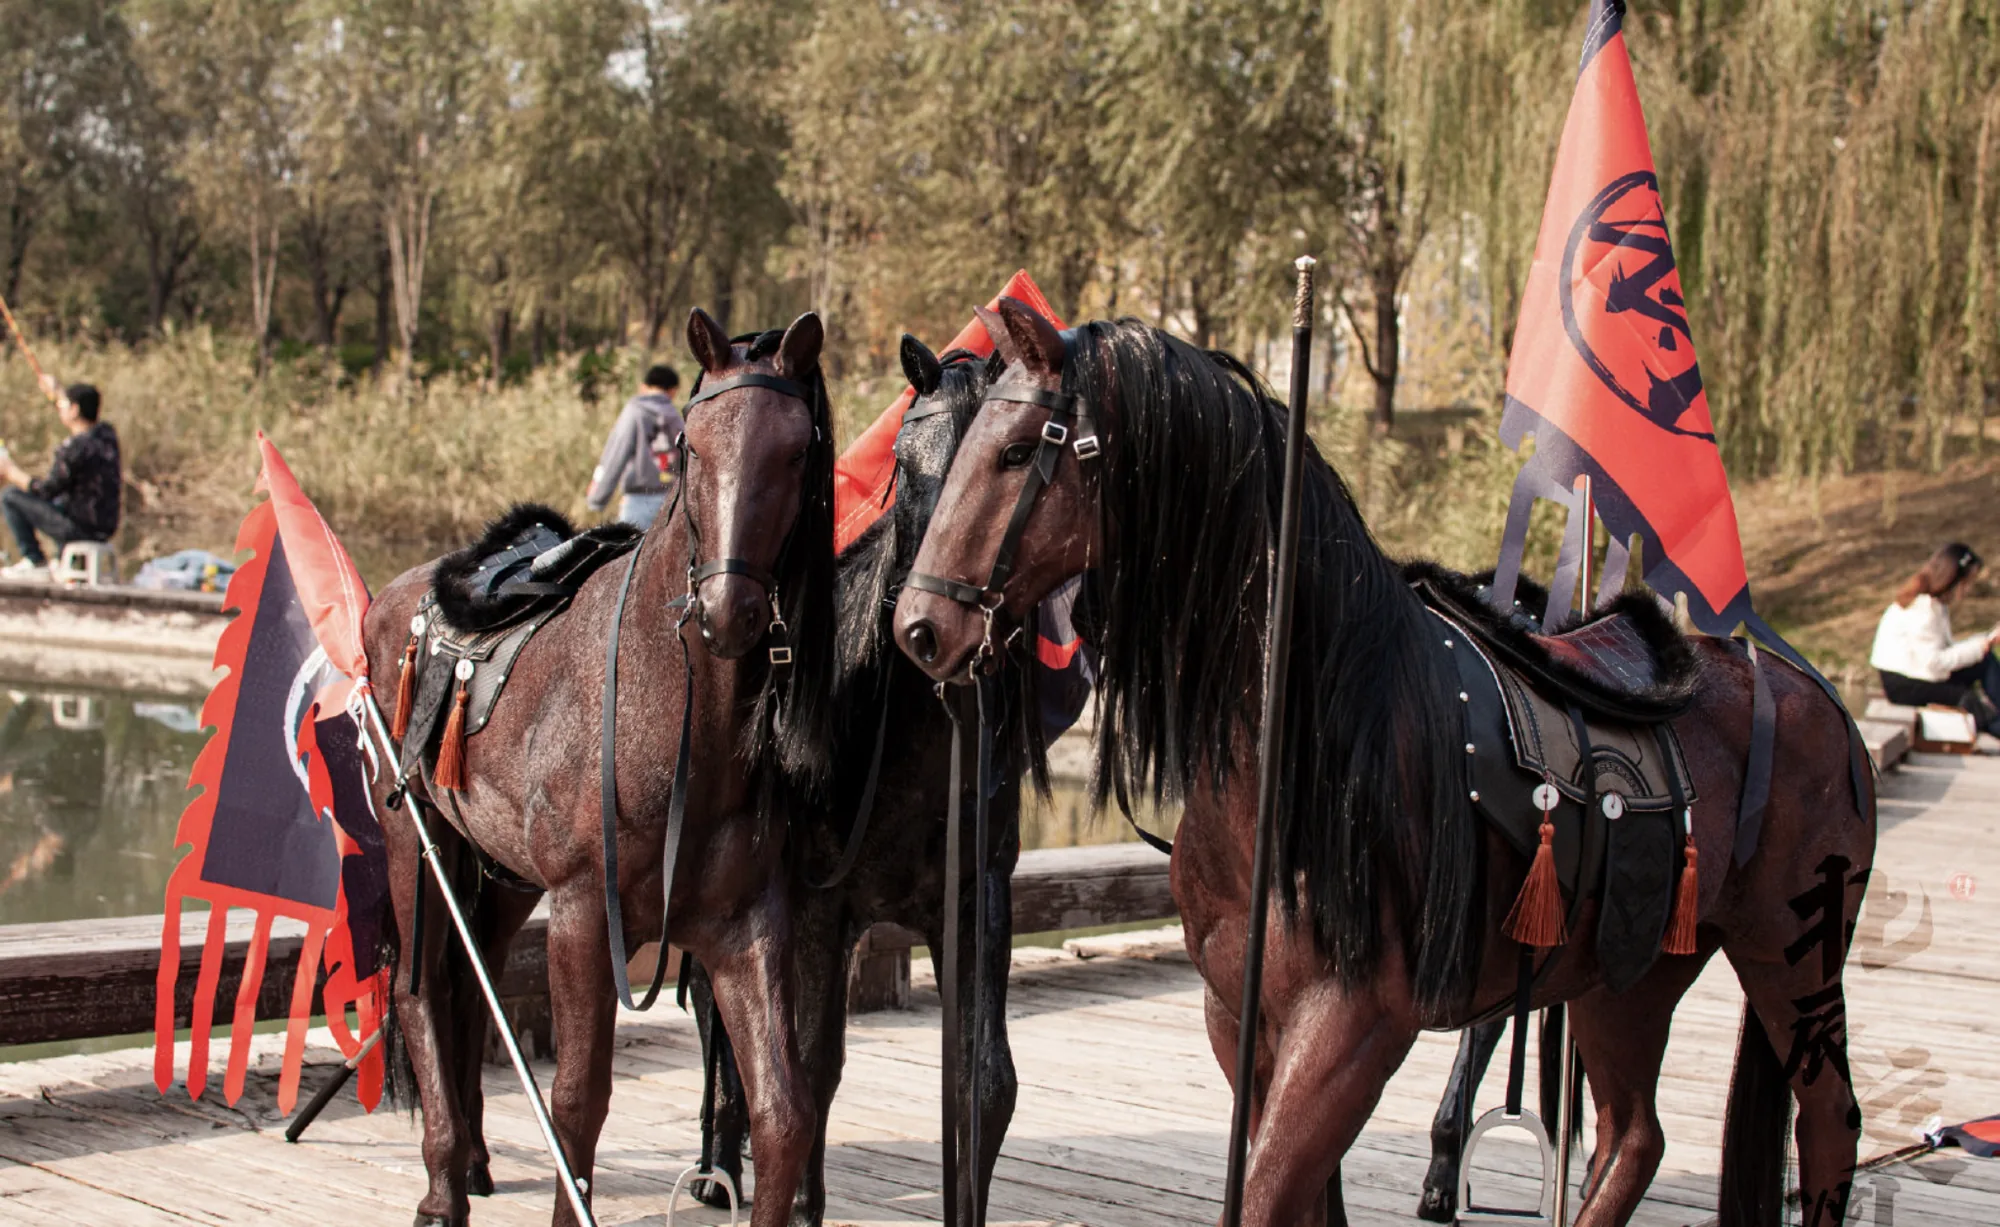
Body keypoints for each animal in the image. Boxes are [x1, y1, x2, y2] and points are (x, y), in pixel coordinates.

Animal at [363, 307, 838, 1227]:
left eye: (796, 452)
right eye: (691, 445)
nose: (729, 610)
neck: (676, 731)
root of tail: (397, 594)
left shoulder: (745, 925)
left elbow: (783, 1112)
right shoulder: (585, 912)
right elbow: (578, 1101)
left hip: (504, 872)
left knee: (469, 989)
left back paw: (472, 1158)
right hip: (415, 838)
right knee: (421, 990)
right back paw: (441, 1183)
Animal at [692, 334, 1047, 1225]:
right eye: (907, 463)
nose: (928, 632)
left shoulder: (975, 899)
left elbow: (984, 1081)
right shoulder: (824, 906)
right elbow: (810, 1068)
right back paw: (714, 1163)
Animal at [891, 299, 1876, 1227]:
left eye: (1018, 451)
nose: (920, 628)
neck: (1301, 748)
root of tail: (1814, 695)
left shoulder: (1354, 1027)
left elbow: (1263, 1198)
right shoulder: (1240, 1015)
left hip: (1791, 954)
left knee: (1829, 1121)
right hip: (1630, 972)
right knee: (1634, 1136)